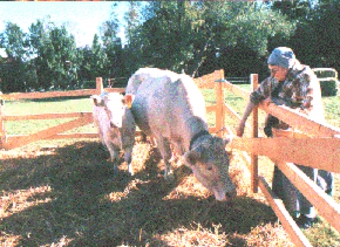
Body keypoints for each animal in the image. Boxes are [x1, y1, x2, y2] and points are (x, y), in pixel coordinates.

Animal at [125, 67, 236, 201]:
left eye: (227, 162)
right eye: (209, 168)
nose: (231, 193)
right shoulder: (161, 136)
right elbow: (167, 156)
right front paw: (168, 174)